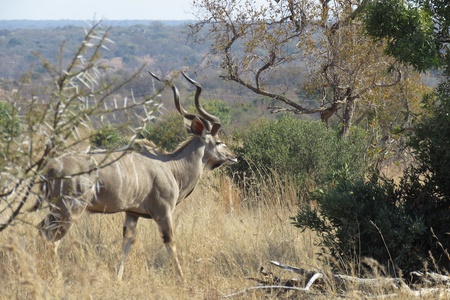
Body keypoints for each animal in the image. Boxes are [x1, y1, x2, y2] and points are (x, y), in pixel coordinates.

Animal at [37, 71, 239, 280]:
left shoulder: (132, 213)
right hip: (70, 210)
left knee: (41, 229)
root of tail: (50, 166)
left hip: (57, 209)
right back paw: (56, 276)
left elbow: (127, 243)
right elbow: (171, 243)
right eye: (219, 141)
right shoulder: (163, 212)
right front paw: (182, 278)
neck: (171, 167)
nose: (234, 156)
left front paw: (118, 278)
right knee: (52, 237)